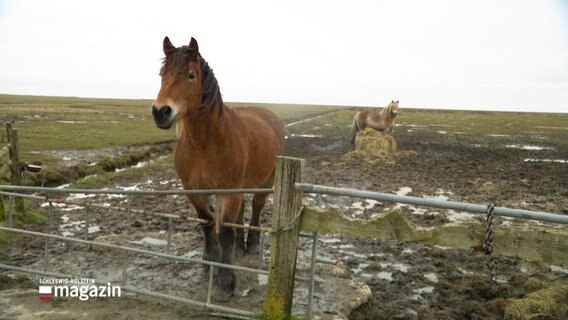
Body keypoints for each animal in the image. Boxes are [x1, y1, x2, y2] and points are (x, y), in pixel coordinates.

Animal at [151, 36, 284, 302]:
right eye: (162, 74)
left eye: (191, 75)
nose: (161, 112)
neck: (204, 144)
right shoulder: (194, 190)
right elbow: (207, 222)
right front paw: (209, 260)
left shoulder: (228, 191)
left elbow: (226, 232)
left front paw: (225, 281)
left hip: (266, 181)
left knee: (256, 207)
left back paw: (252, 243)